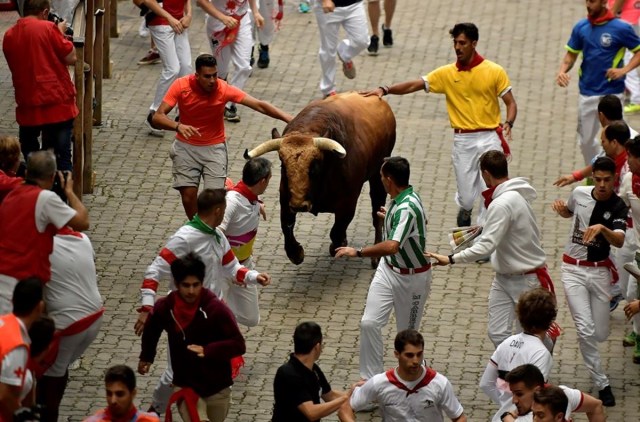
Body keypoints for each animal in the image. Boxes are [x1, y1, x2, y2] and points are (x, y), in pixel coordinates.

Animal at [244, 92, 396, 268]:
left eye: (314, 166)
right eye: (282, 164)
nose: (299, 205)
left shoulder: (348, 202)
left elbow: (337, 231)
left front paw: (338, 246)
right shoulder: (285, 198)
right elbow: (286, 226)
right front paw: (296, 253)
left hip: (378, 175)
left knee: (377, 210)